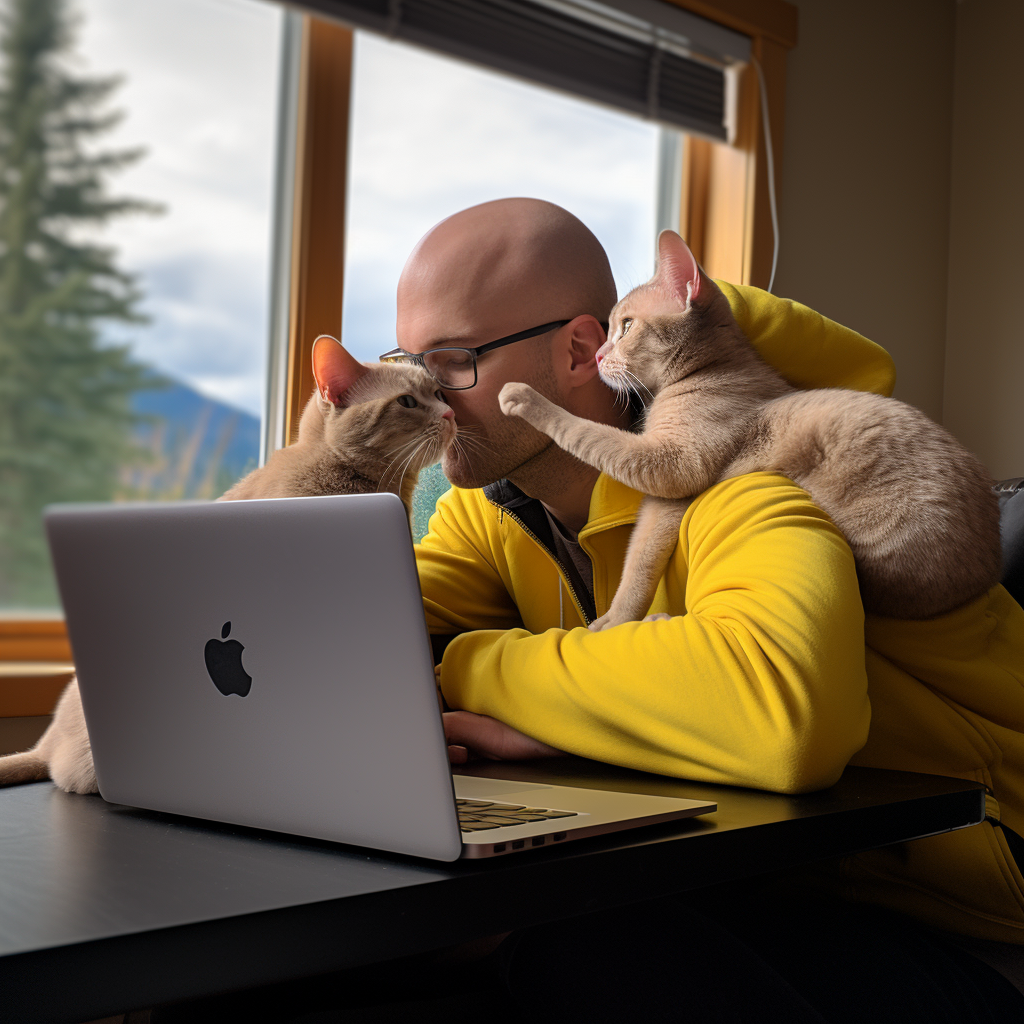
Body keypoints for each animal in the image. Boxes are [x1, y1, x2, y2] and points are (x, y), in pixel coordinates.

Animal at [499, 232, 1003, 630]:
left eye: (624, 327)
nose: (600, 356)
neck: (710, 371)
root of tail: (986, 568)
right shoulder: (661, 504)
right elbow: (639, 557)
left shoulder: (672, 469)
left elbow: (586, 436)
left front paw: (523, 397)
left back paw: (661, 618)